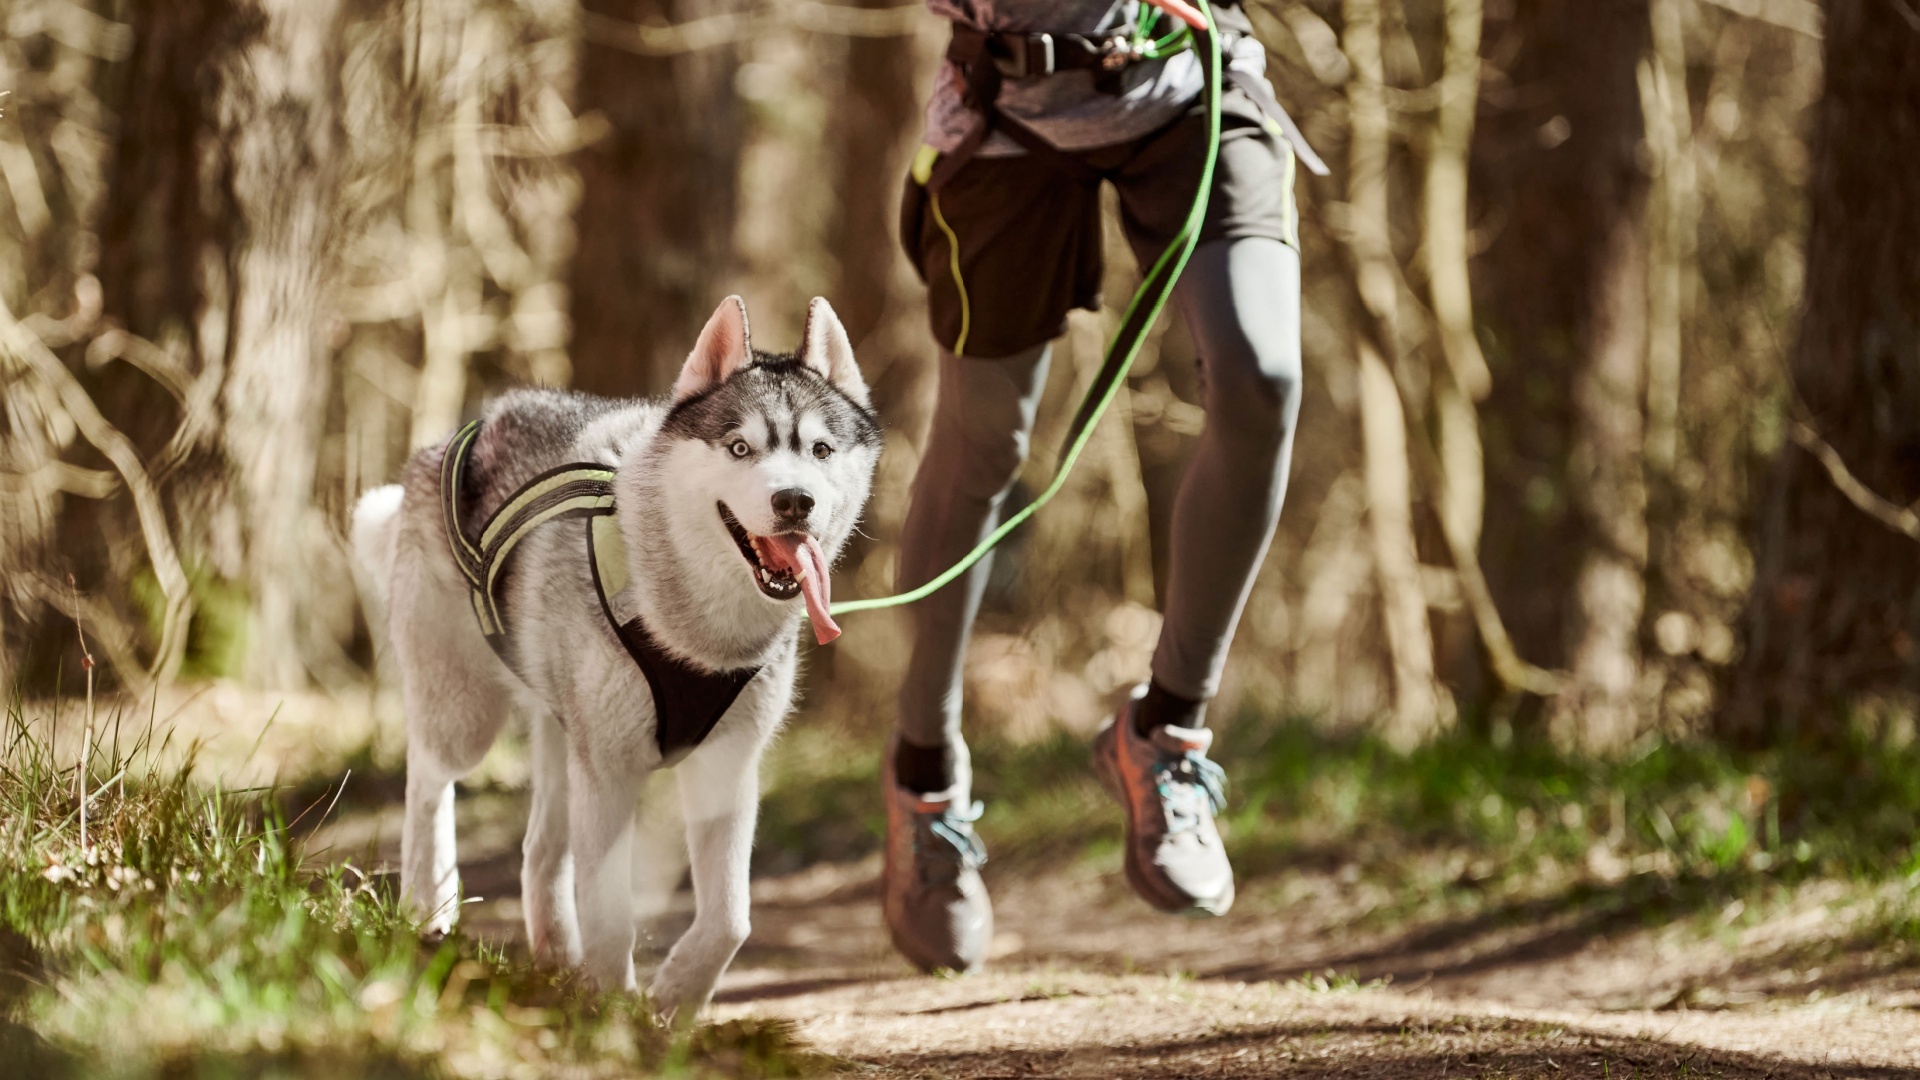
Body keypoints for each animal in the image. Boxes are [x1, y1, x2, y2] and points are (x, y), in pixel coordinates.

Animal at [351, 295, 879, 1014]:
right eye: (740, 448)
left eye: (820, 449)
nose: (794, 501)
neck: (697, 631)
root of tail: (466, 428)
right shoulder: (610, 772)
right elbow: (611, 911)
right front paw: (611, 1009)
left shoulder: (726, 765)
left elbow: (730, 919)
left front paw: (675, 996)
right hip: (467, 718)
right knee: (429, 783)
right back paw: (430, 908)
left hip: (563, 736)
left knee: (539, 851)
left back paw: (555, 963)